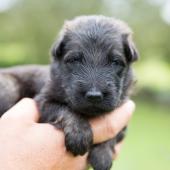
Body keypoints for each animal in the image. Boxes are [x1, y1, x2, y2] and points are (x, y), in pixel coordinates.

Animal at [35, 15, 138, 170]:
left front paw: (102, 155)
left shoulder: (123, 115)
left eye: (115, 62)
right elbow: (64, 109)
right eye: (75, 60)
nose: (94, 96)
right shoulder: (44, 100)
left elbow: (114, 134)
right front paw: (79, 134)